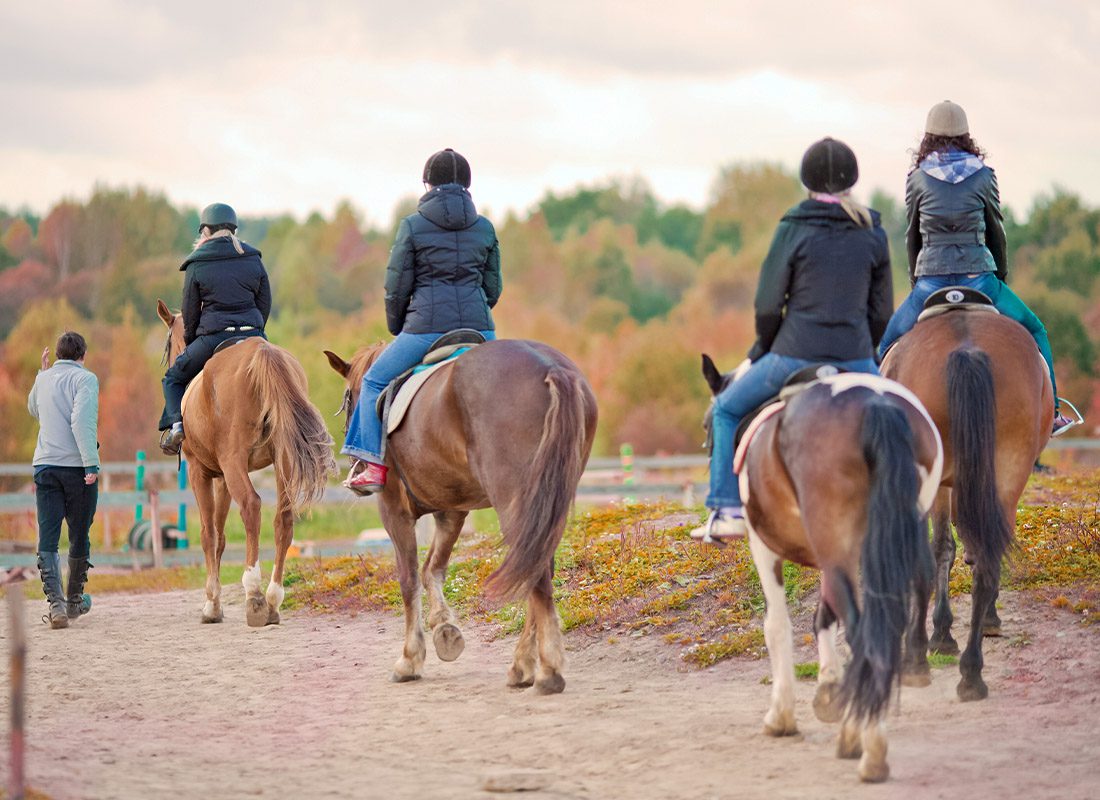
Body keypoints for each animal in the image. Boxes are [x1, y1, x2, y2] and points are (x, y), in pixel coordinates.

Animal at [157, 299, 332, 625]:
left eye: (168, 344)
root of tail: (261, 352)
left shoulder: (200, 472)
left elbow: (208, 534)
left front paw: (211, 605)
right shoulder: (223, 478)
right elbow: (221, 537)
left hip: (235, 461)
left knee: (251, 506)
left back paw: (255, 595)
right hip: (282, 460)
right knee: (283, 518)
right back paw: (273, 599)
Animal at [323, 338, 598, 695]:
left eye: (348, 398)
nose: (356, 465)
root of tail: (550, 367)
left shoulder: (395, 511)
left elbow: (409, 579)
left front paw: (410, 658)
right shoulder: (452, 511)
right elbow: (433, 569)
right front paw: (444, 629)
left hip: (516, 502)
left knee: (536, 575)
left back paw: (546, 670)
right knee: (537, 566)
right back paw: (523, 665)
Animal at [699, 360, 941, 783]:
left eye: (707, 425)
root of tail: (876, 405)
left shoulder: (764, 547)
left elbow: (777, 626)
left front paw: (782, 716)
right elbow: (824, 613)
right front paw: (830, 689)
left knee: (865, 634)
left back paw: (867, 746)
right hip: (890, 537)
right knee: (896, 608)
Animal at [880, 305, 1051, 699]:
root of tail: (968, 348)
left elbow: (943, 549)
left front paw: (938, 636)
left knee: (939, 556)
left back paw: (925, 659)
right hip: (1007, 468)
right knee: (985, 557)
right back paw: (971, 672)